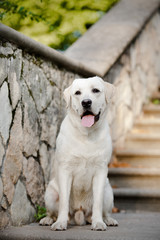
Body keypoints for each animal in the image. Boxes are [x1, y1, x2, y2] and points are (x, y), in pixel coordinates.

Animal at [39, 76, 118, 230]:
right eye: (77, 93)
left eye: (96, 90)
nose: (86, 102)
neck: (86, 134)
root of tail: (79, 213)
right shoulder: (65, 170)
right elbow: (64, 201)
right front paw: (60, 222)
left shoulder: (100, 171)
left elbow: (98, 203)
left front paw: (98, 222)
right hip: (50, 194)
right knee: (52, 211)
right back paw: (48, 219)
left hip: (108, 192)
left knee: (104, 210)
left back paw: (107, 220)